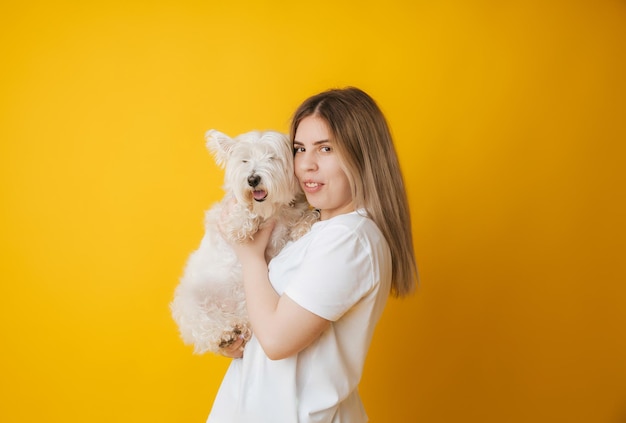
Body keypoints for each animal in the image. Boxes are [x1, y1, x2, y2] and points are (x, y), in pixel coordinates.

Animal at [169, 129, 316, 354]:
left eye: (271, 157)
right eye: (244, 160)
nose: (253, 179)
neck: (271, 210)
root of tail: (232, 312)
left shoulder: (282, 231)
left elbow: (298, 216)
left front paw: (305, 223)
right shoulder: (224, 213)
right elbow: (240, 208)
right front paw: (241, 224)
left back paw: (239, 327)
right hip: (190, 300)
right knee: (202, 325)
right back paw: (225, 334)